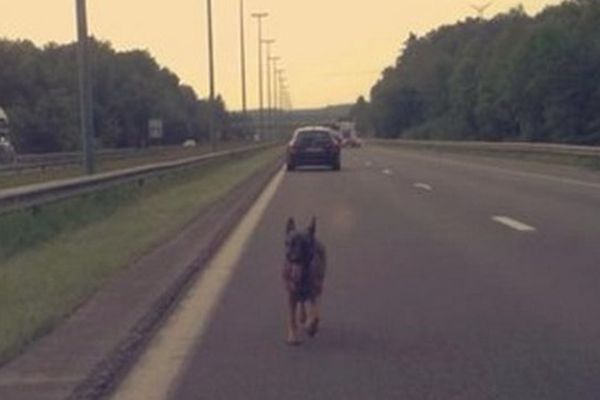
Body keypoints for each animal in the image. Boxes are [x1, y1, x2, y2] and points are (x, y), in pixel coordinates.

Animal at [282, 217, 326, 346]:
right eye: (291, 243)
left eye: (304, 244)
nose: (295, 259)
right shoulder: (291, 296)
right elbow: (292, 319)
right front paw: (293, 336)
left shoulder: (315, 294)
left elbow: (315, 315)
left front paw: (311, 328)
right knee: (301, 303)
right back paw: (302, 317)